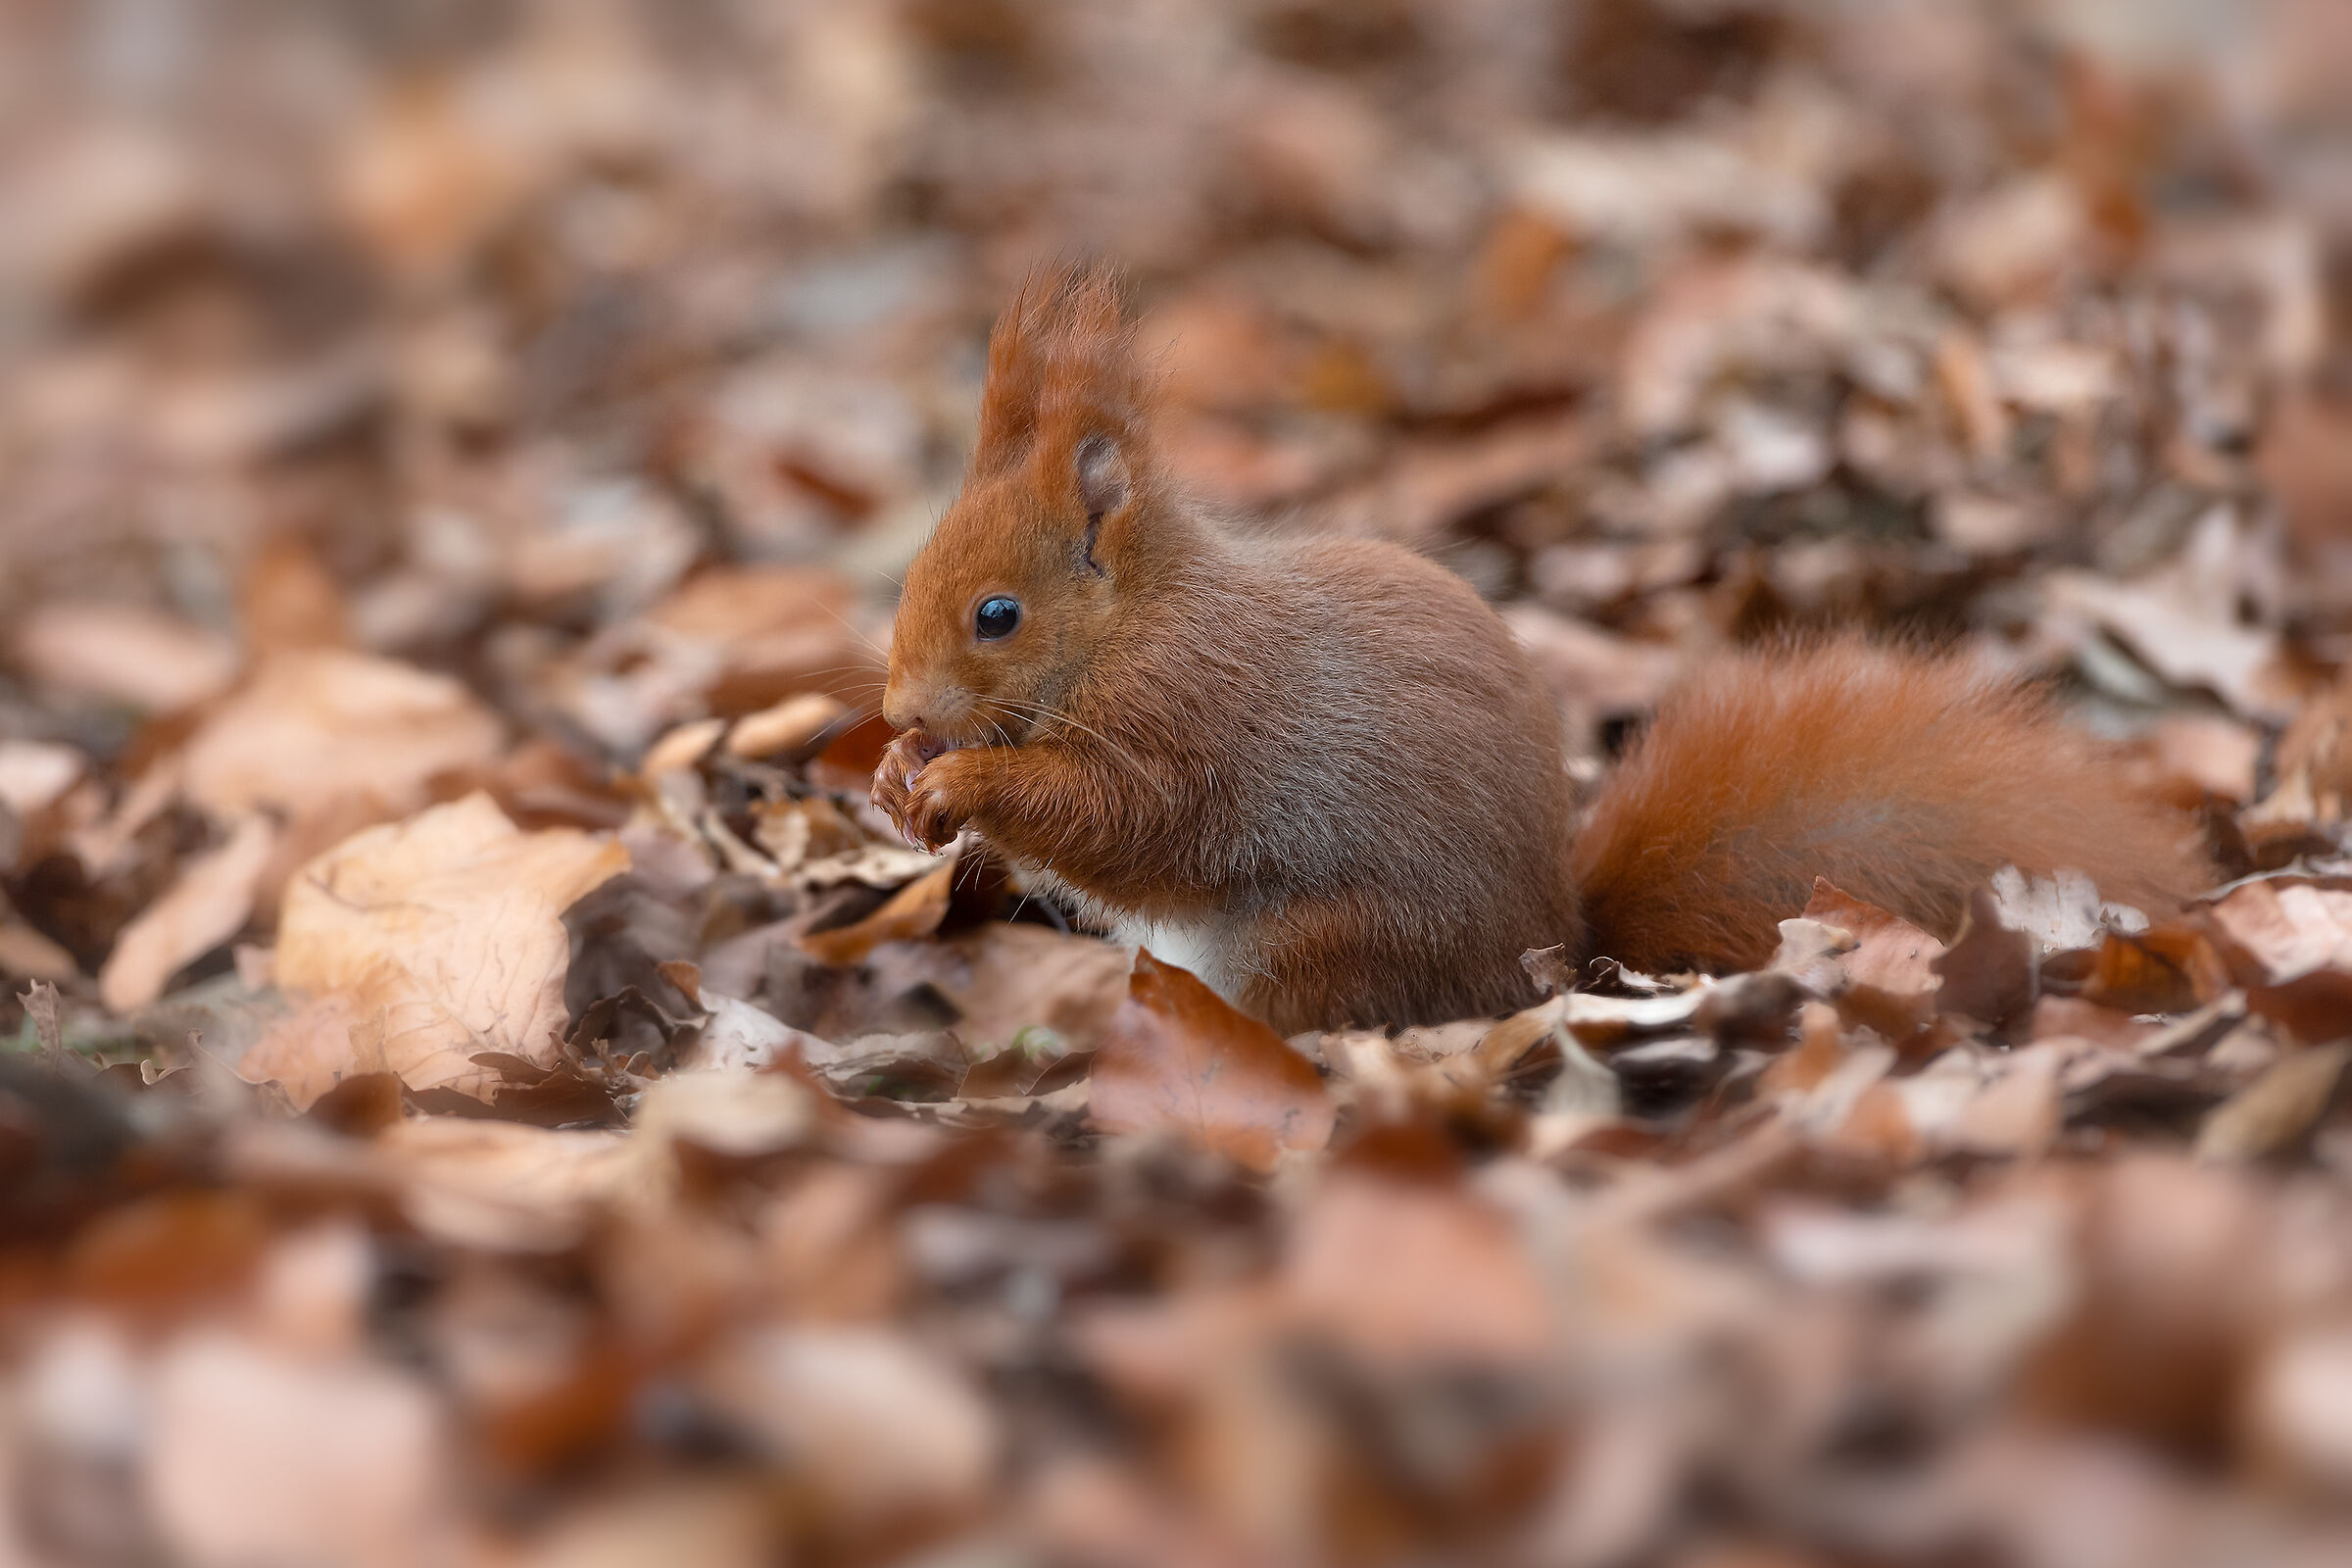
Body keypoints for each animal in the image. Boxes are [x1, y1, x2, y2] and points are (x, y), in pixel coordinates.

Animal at [871, 265, 2212, 1034]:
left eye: (998, 615)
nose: (897, 705)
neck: (1134, 621)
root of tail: (1558, 956)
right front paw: (897, 778)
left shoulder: (1191, 713)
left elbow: (1127, 823)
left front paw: (962, 779)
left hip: (1325, 943)